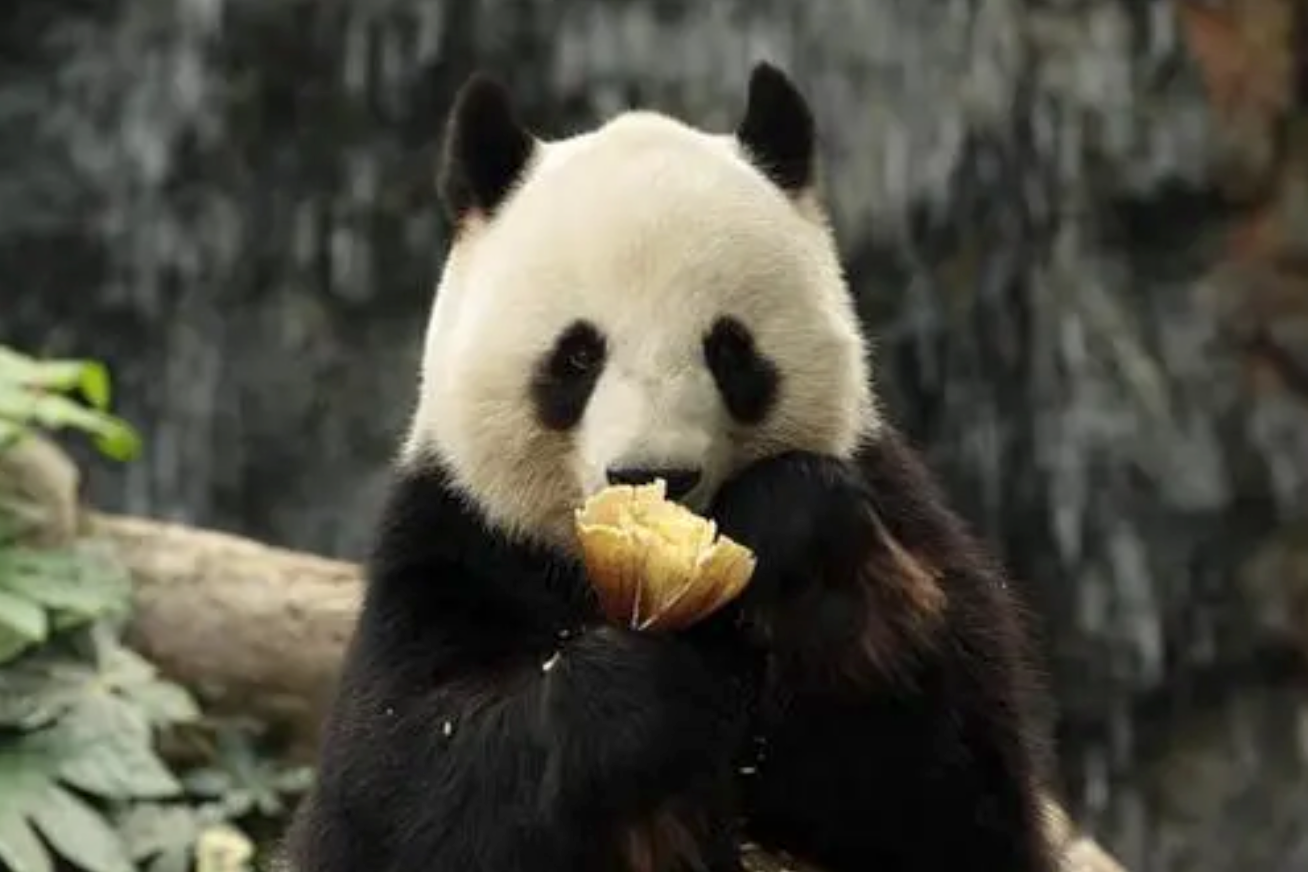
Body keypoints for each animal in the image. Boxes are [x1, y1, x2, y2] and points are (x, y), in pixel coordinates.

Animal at [287, 63, 1058, 872]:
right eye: (577, 356)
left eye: (730, 350)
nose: (653, 475)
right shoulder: (453, 544)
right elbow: (401, 785)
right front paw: (640, 691)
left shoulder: (898, 507)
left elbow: (952, 792)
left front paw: (790, 528)